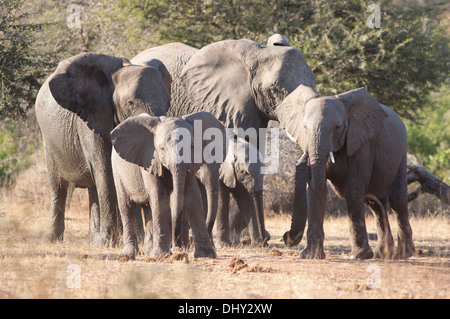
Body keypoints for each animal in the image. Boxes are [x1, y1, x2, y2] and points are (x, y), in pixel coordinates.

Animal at [35, 53, 171, 248]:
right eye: (130, 103)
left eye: (168, 103)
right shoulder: (92, 119)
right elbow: (106, 170)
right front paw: (108, 243)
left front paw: (134, 239)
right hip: (48, 140)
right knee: (59, 186)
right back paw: (52, 239)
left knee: (93, 187)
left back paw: (94, 240)